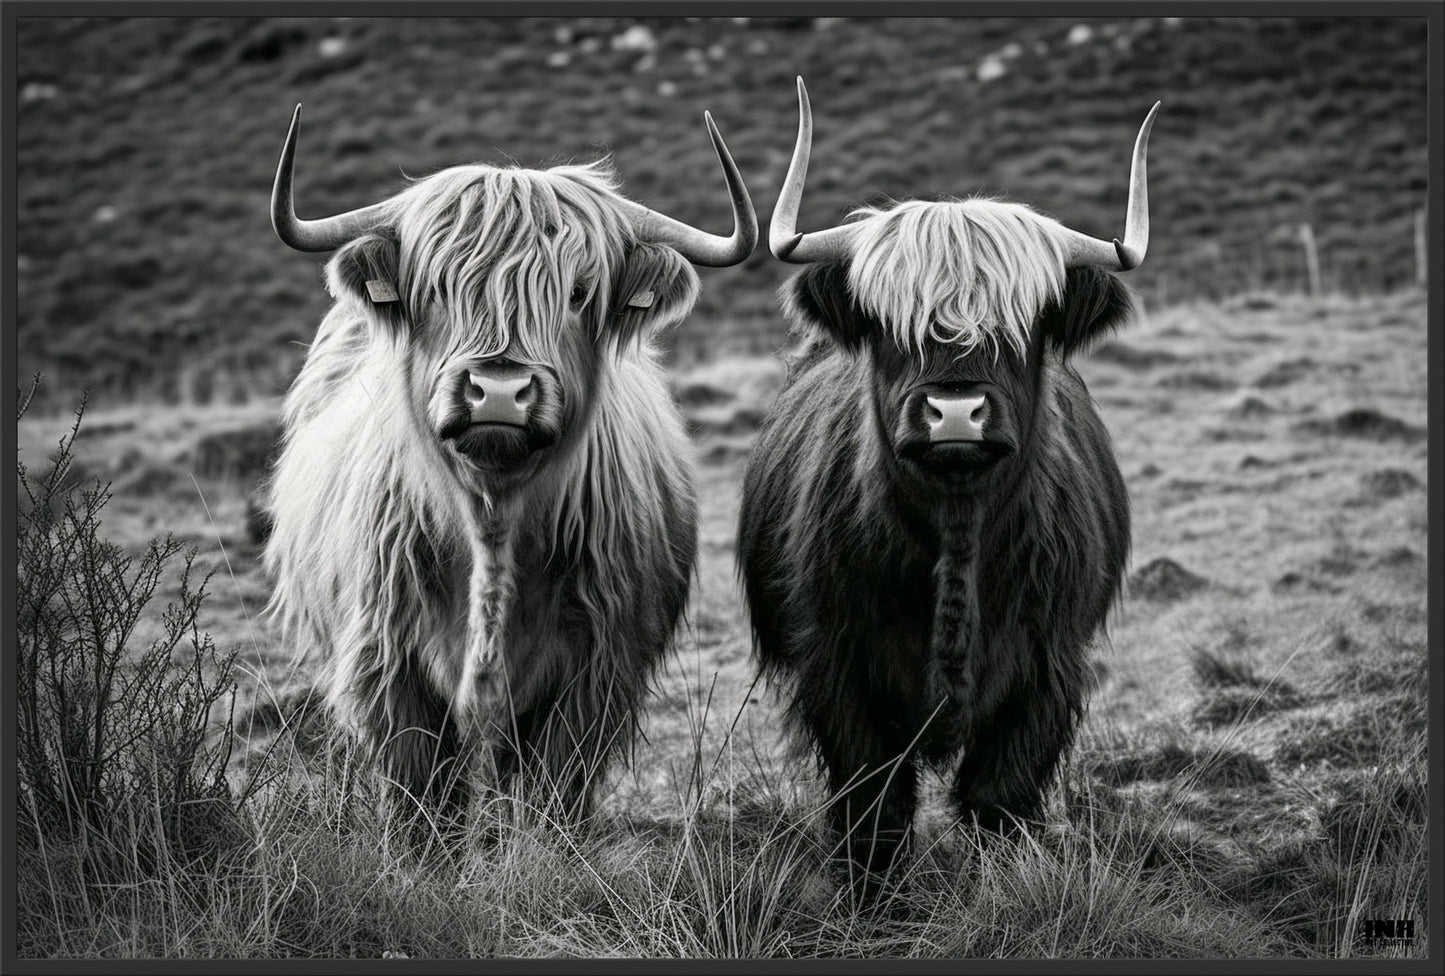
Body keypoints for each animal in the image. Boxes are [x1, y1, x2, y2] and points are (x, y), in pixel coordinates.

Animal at [262, 104, 757, 832]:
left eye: (578, 292)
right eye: (437, 287)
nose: (498, 392)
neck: (492, 519)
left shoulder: (595, 672)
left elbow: (554, 791)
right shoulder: (385, 664)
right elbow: (421, 799)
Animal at [739, 80, 1156, 879]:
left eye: (1023, 327)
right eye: (887, 324)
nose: (955, 410)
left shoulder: (1046, 671)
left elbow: (998, 800)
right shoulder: (837, 670)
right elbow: (873, 809)